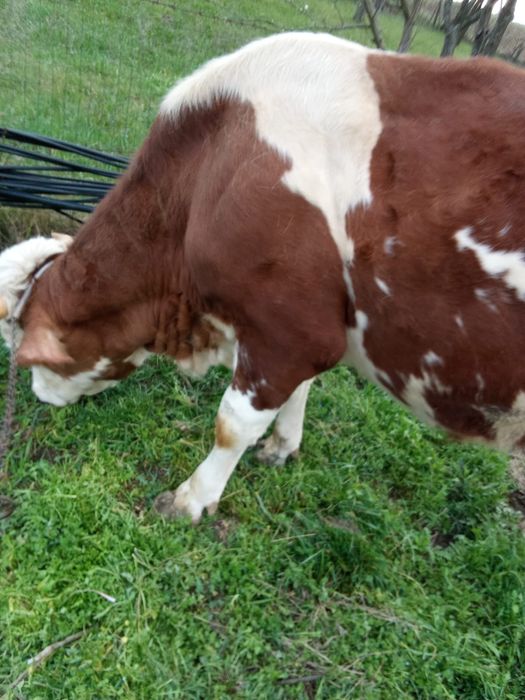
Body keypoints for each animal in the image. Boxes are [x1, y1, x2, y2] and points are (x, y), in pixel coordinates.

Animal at [1, 33, 525, 523]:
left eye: (26, 353)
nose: (39, 396)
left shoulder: (291, 330)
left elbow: (232, 423)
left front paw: (192, 499)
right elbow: (299, 390)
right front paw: (282, 445)